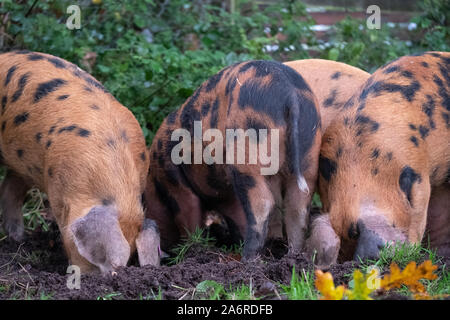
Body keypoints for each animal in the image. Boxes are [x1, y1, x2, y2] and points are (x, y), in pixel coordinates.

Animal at [142, 60, 322, 260]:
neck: (155, 181)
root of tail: (289, 93)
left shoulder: (174, 180)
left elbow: (189, 213)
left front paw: (194, 249)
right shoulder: (224, 194)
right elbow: (235, 215)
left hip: (246, 151)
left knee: (263, 202)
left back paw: (248, 259)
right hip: (309, 152)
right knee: (298, 207)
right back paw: (292, 256)